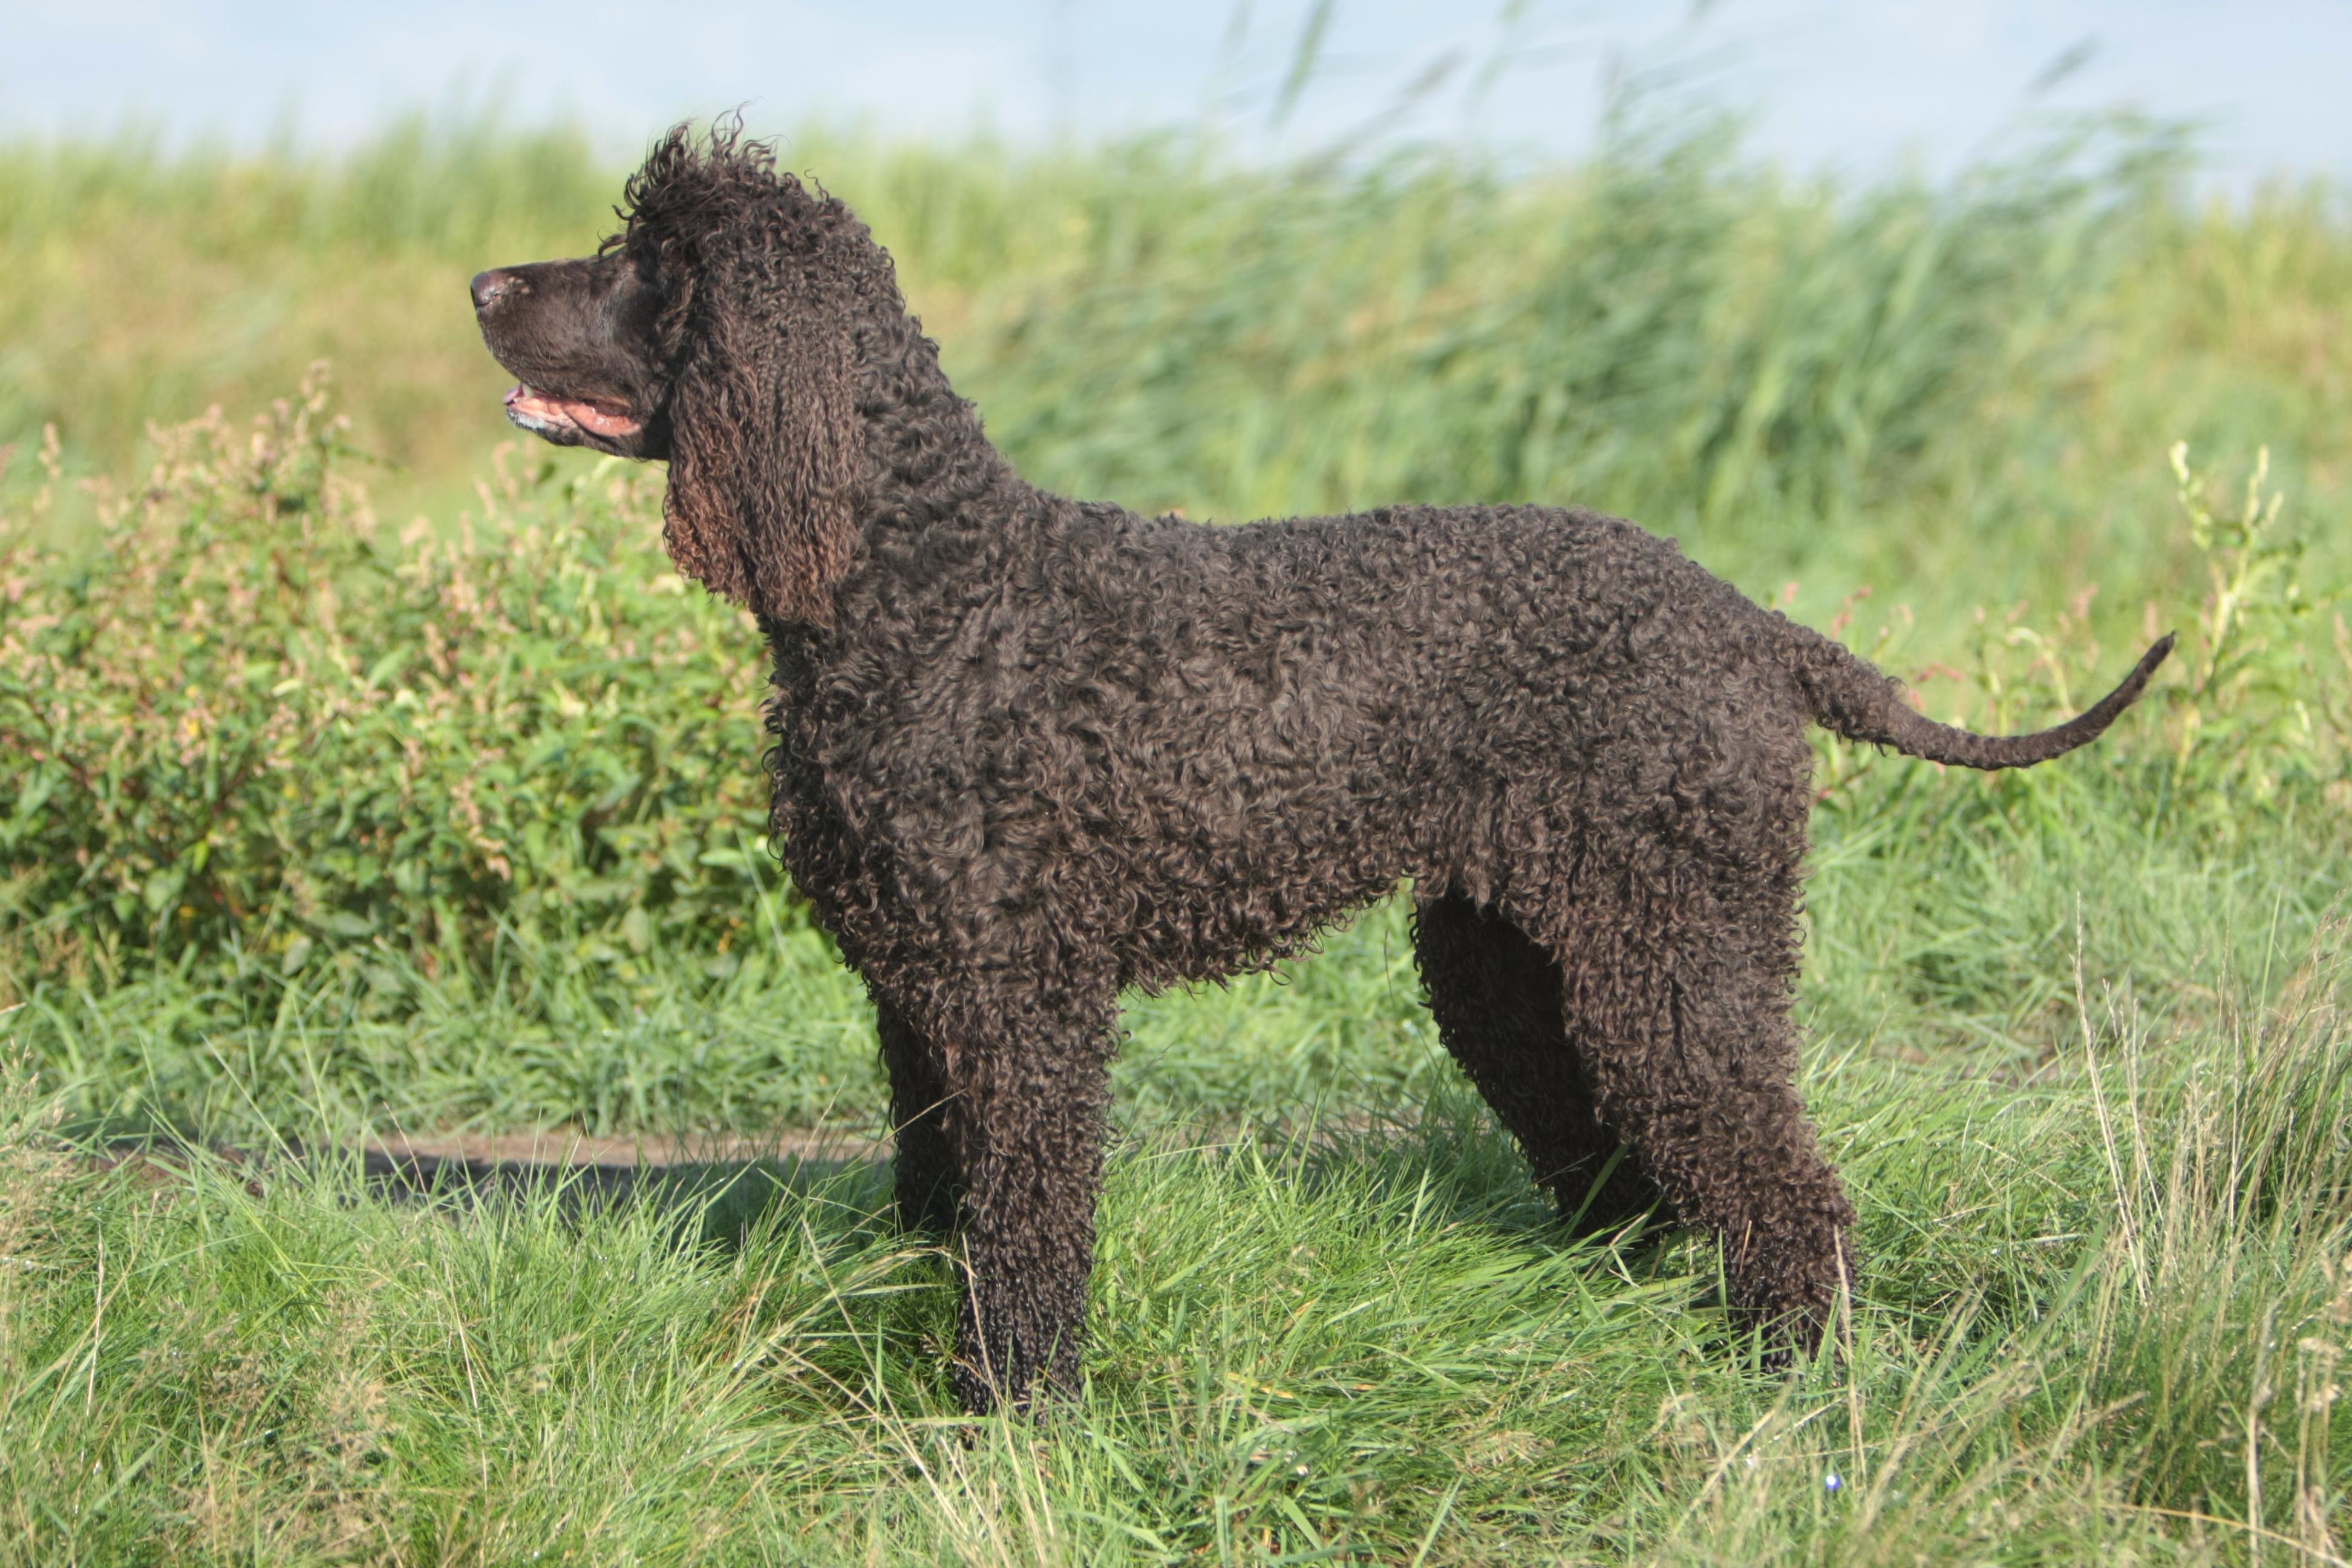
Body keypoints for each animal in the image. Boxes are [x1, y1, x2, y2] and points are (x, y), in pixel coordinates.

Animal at [468, 128, 2173, 1420]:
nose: (480, 280)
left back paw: (1794, 1384)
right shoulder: (917, 987)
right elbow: (940, 1201)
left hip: (1677, 948)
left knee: (1777, 1185)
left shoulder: (1023, 999)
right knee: (1623, 1164)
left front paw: (1013, 1416)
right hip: (1512, 957)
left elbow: (1025, 1228)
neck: (923, 586)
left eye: (651, 265)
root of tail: (1746, 620)